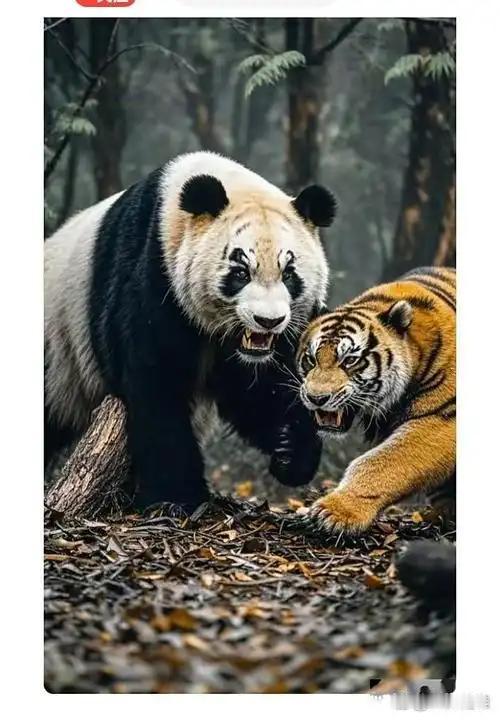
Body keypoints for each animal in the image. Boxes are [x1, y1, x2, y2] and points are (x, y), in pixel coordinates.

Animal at [296, 267, 456, 535]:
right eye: (311, 359)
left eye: (350, 360)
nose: (316, 398)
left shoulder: (443, 418)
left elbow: (379, 462)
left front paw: (334, 512)